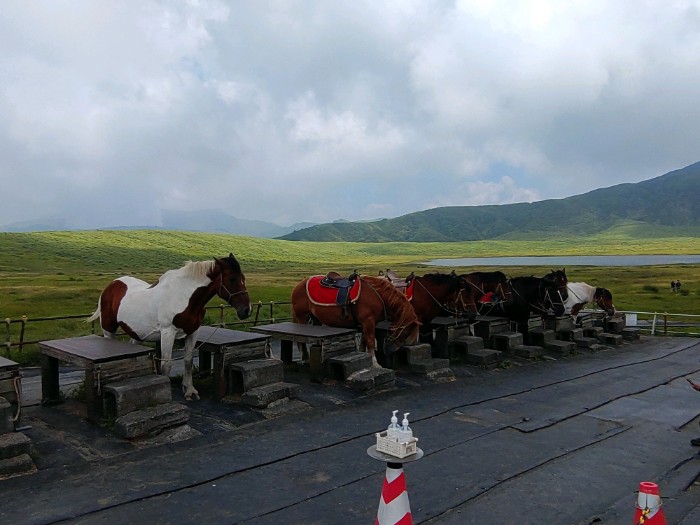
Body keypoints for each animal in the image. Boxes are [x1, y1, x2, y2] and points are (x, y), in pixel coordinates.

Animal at [87, 254, 251, 400]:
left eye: (243, 278)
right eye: (232, 279)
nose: (246, 310)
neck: (185, 298)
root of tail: (111, 285)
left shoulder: (193, 332)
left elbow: (188, 361)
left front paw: (189, 390)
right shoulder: (168, 333)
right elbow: (166, 366)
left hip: (136, 333)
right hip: (108, 331)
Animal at [290, 274, 421, 367]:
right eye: (406, 333)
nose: (390, 351)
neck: (377, 294)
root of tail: (298, 285)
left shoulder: (365, 323)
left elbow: (363, 341)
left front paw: (363, 356)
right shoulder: (368, 321)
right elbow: (370, 341)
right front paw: (375, 364)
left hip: (315, 319)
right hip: (302, 317)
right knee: (301, 340)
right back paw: (305, 359)